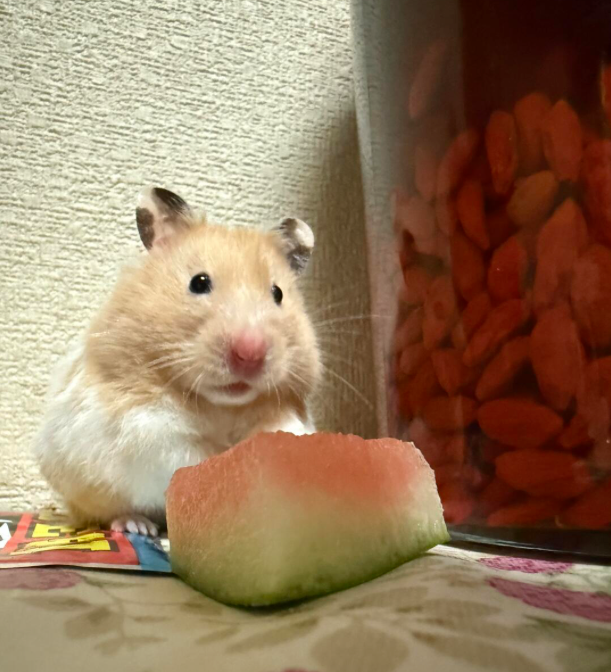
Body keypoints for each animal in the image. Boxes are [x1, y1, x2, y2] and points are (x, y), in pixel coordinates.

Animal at [34, 187, 321, 536]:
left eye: (278, 293)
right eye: (199, 282)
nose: (250, 353)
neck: (222, 406)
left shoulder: (288, 419)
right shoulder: (147, 428)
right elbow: (192, 455)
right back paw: (138, 526)